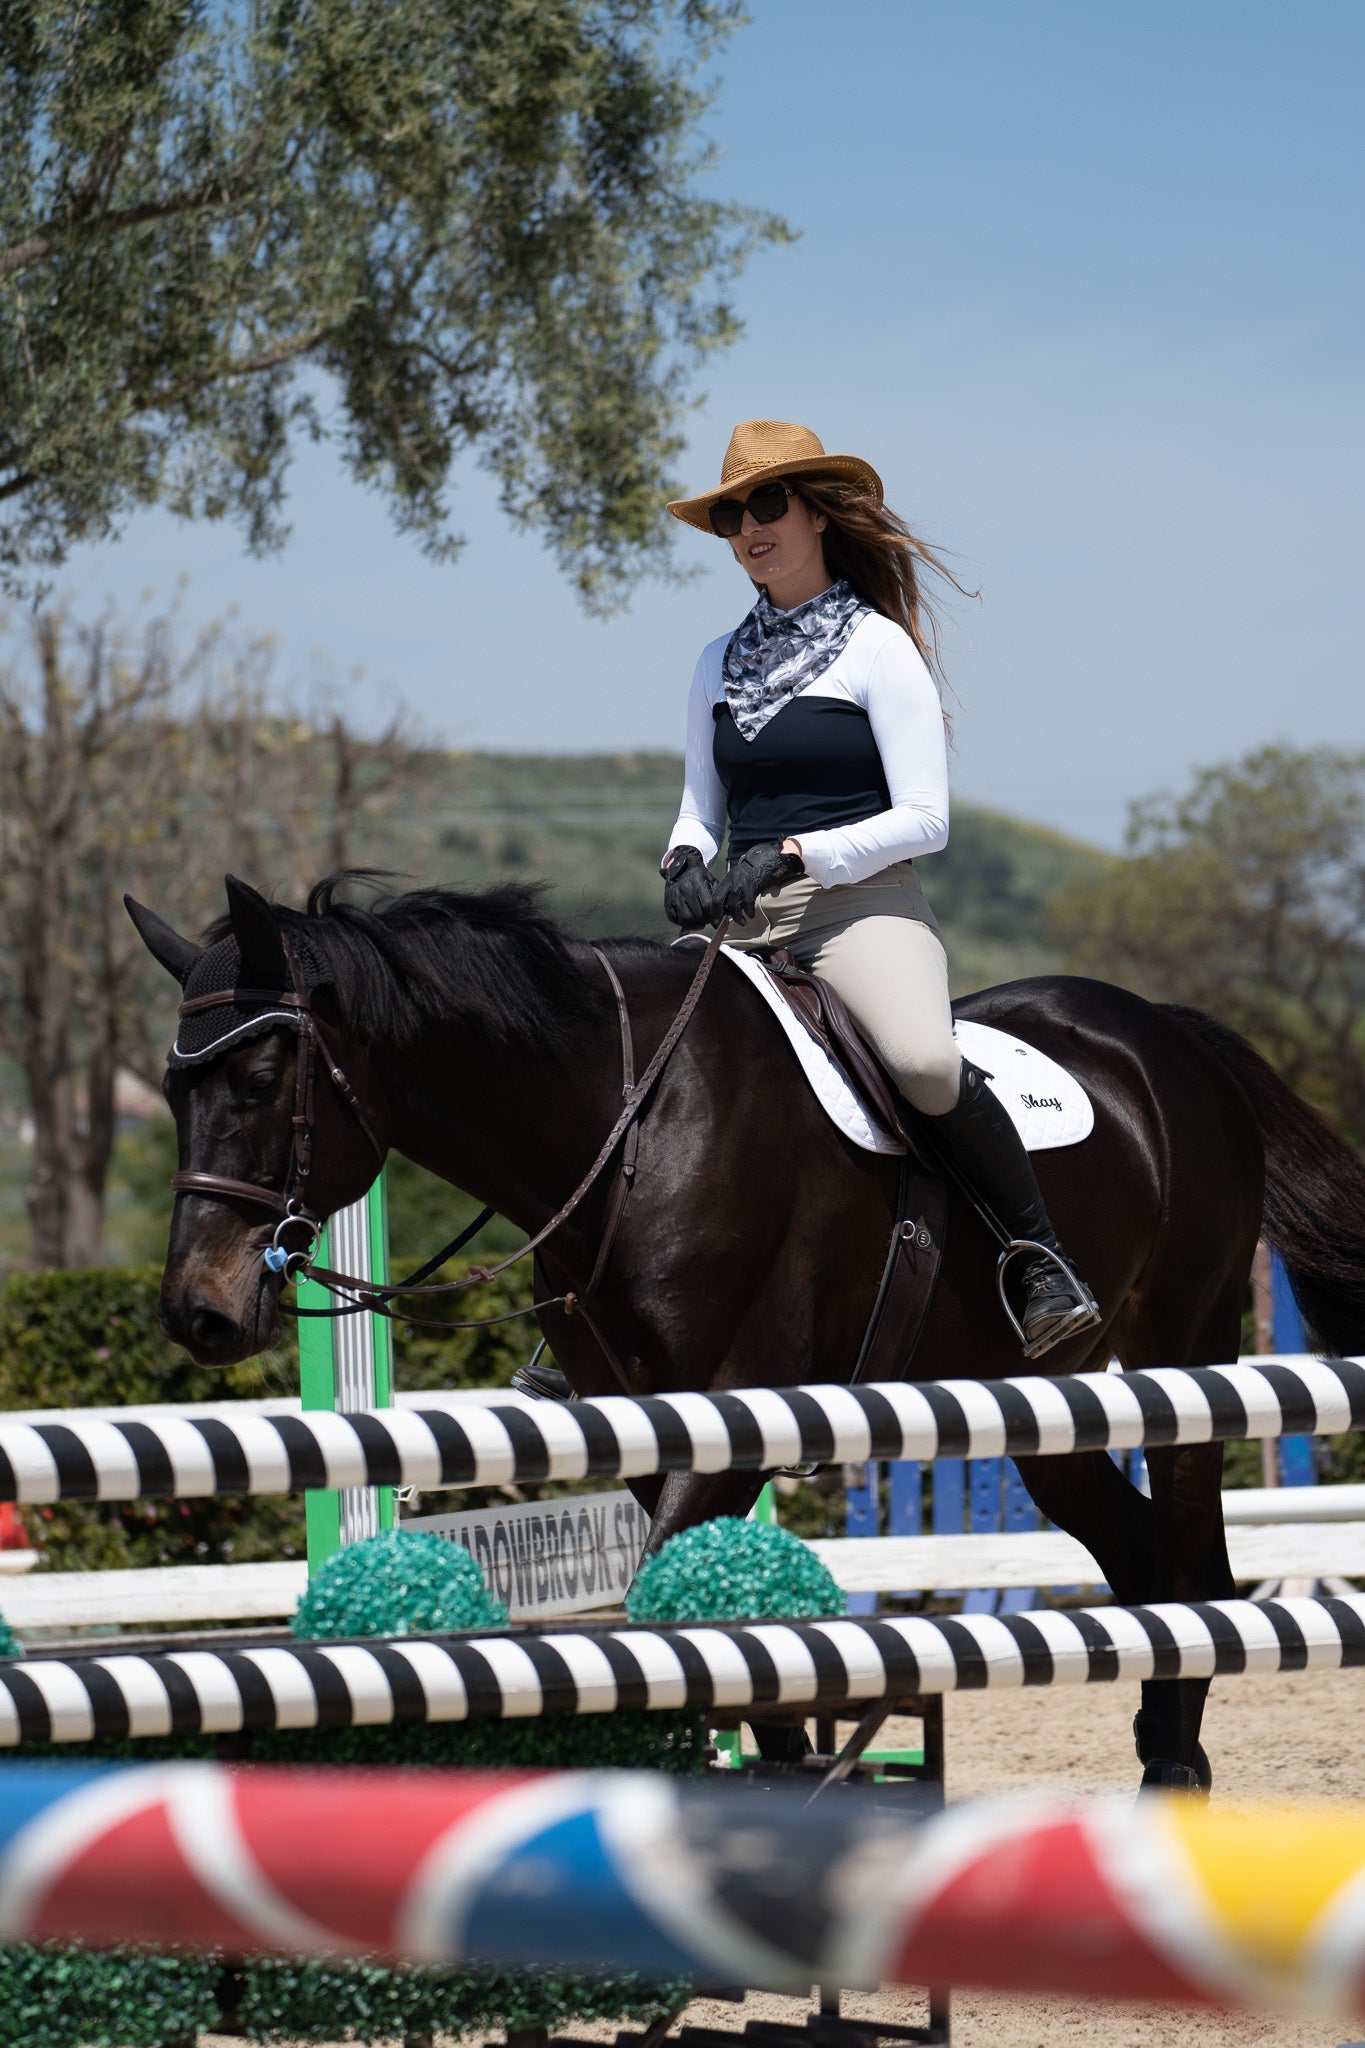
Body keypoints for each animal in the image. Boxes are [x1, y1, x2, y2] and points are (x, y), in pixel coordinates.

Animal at [130, 872, 1365, 1785]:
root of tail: (1170, 1037)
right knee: (1144, 1557)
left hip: (1183, 1351)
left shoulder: (730, 1415)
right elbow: (719, 1620)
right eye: (171, 1088)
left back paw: (1175, 1773)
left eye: (259, 1073)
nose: (199, 1310)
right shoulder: (653, 1424)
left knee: (1196, 1563)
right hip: (1031, 1405)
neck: (629, 1119)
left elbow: (669, 1611)